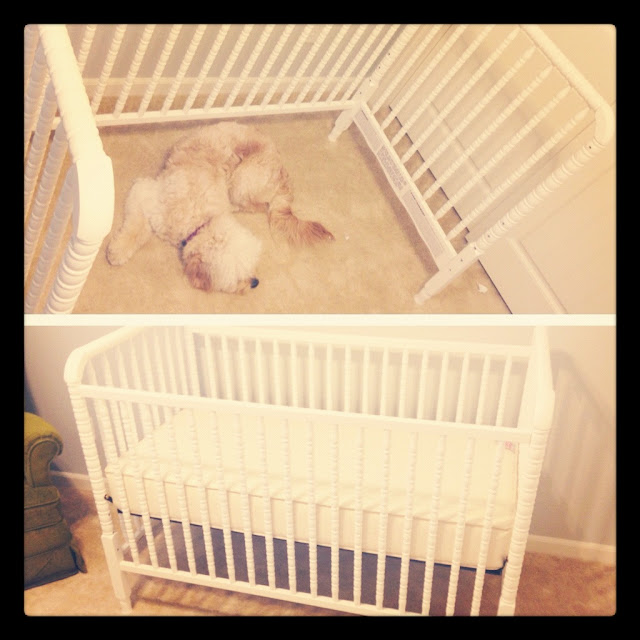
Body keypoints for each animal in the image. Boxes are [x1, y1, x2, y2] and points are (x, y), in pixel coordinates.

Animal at [106, 121, 334, 293]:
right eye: (237, 277)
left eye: (251, 266)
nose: (255, 282)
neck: (198, 222)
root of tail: (283, 171)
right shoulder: (145, 193)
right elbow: (135, 229)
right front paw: (118, 251)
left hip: (242, 182)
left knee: (259, 205)